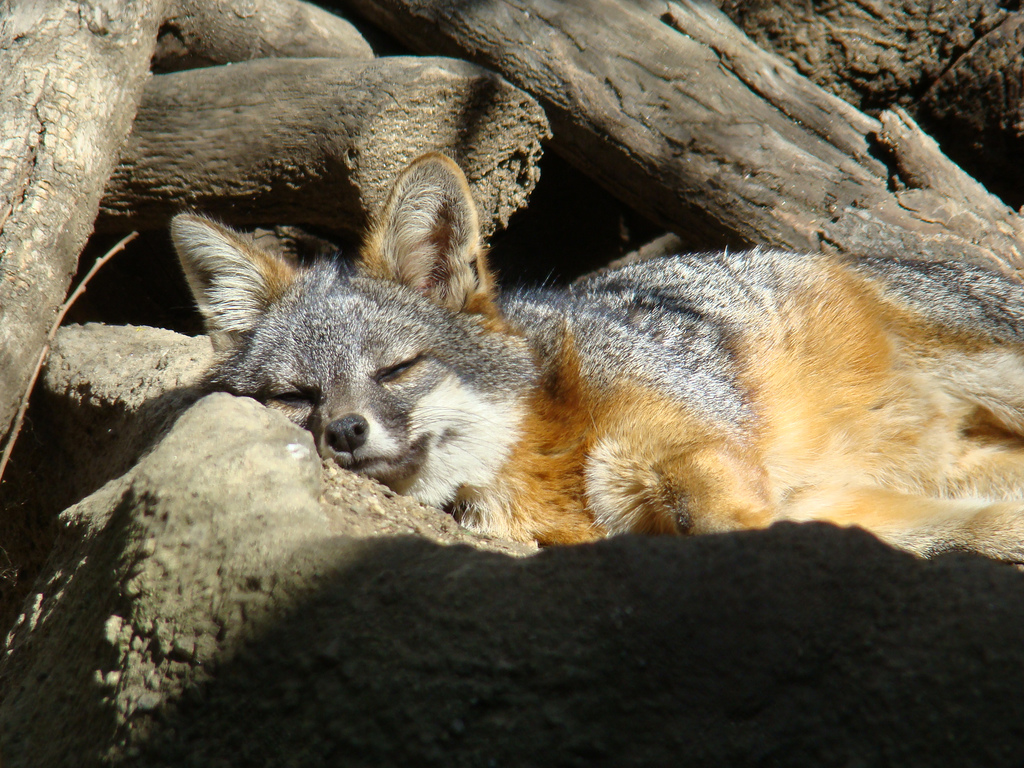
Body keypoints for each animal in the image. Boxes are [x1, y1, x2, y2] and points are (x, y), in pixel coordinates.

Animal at [171, 152, 1024, 560]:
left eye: (397, 369)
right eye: (296, 398)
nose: (345, 432)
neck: (549, 465)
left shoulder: (692, 433)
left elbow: (718, 504)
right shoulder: (844, 505)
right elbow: (962, 537)